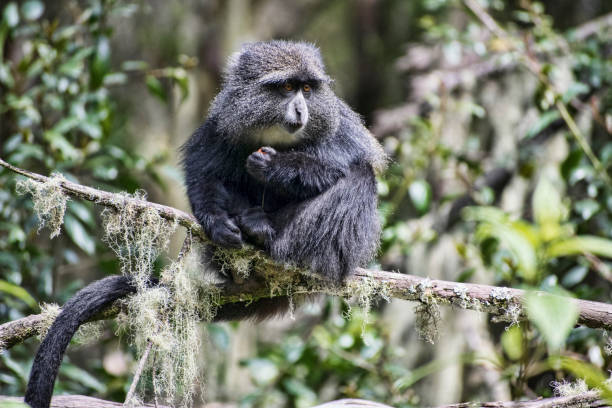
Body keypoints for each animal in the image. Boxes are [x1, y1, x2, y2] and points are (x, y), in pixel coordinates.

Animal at [27, 39, 388, 408]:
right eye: (288, 88)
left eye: (307, 89)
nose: (302, 110)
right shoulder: (219, 125)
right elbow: (206, 175)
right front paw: (220, 222)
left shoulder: (340, 130)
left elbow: (341, 167)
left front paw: (276, 168)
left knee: (360, 178)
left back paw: (277, 241)